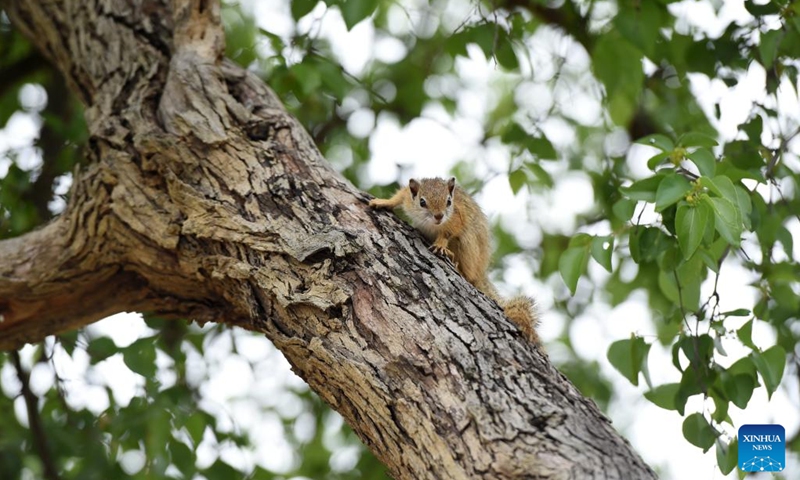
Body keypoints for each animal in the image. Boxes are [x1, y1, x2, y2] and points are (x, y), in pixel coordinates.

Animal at [369, 177, 540, 344]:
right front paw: (383, 202)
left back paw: (456, 264)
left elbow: (448, 231)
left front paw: (440, 244)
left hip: (468, 244)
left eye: (449, 202)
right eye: (422, 202)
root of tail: (481, 272)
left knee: (469, 274)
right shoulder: (408, 197)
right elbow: (400, 196)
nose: (439, 216)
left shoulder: (457, 215)